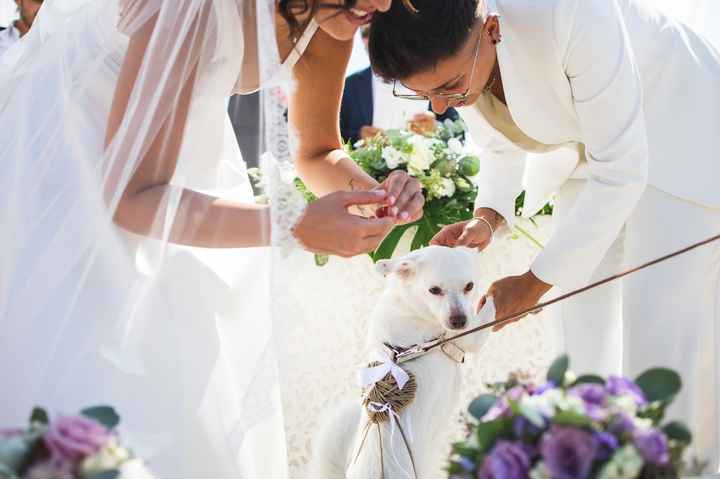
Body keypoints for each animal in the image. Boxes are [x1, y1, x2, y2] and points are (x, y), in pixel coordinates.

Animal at [310, 246, 496, 478]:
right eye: (434, 290)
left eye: (469, 286)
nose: (459, 321)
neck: (408, 305)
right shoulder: (471, 337)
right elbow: (490, 309)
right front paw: (494, 294)